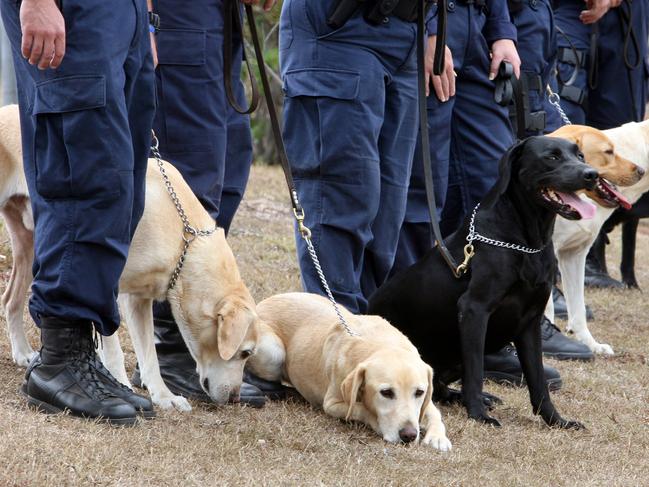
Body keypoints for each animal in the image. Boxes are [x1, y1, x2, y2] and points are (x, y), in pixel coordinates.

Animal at [0, 104, 260, 412]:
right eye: (244, 353)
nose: (235, 398)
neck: (181, 236)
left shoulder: (139, 299)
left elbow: (150, 355)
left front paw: (164, 396)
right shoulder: (107, 288)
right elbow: (112, 349)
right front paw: (120, 386)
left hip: (33, 245)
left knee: (11, 300)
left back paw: (22, 352)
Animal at [247, 292, 450, 452]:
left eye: (419, 392)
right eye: (386, 392)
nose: (409, 435)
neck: (379, 344)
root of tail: (261, 303)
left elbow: (434, 412)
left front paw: (438, 437)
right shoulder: (332, 404)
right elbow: (361, 409)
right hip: (274, 352)